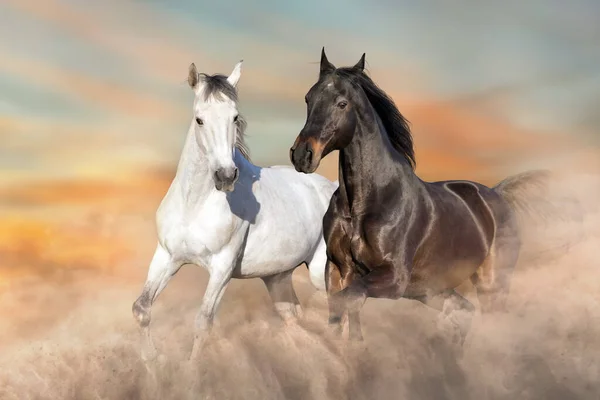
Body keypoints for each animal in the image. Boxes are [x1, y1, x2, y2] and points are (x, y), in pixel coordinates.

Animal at [132, 61, 338, 360]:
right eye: (199, 119)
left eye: (234, 117)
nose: (226, 176)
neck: (195, 204)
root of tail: (332, 187)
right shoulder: (167, 257)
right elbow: (142, 310)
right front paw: (153, 361)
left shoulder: (222, 267)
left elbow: (203, 323)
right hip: (277, 278)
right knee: (295, 318)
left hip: (321, 272)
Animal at [290, 48, 552, 346]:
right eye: (309, 98)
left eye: (342, 103)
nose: (302, 155)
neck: (364, 204)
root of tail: (496, 195)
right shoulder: (338, 268)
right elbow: (340, 313)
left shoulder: (394, 277)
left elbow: (349, 302)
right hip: (431, 290)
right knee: (464, 311)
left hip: (491, 285)